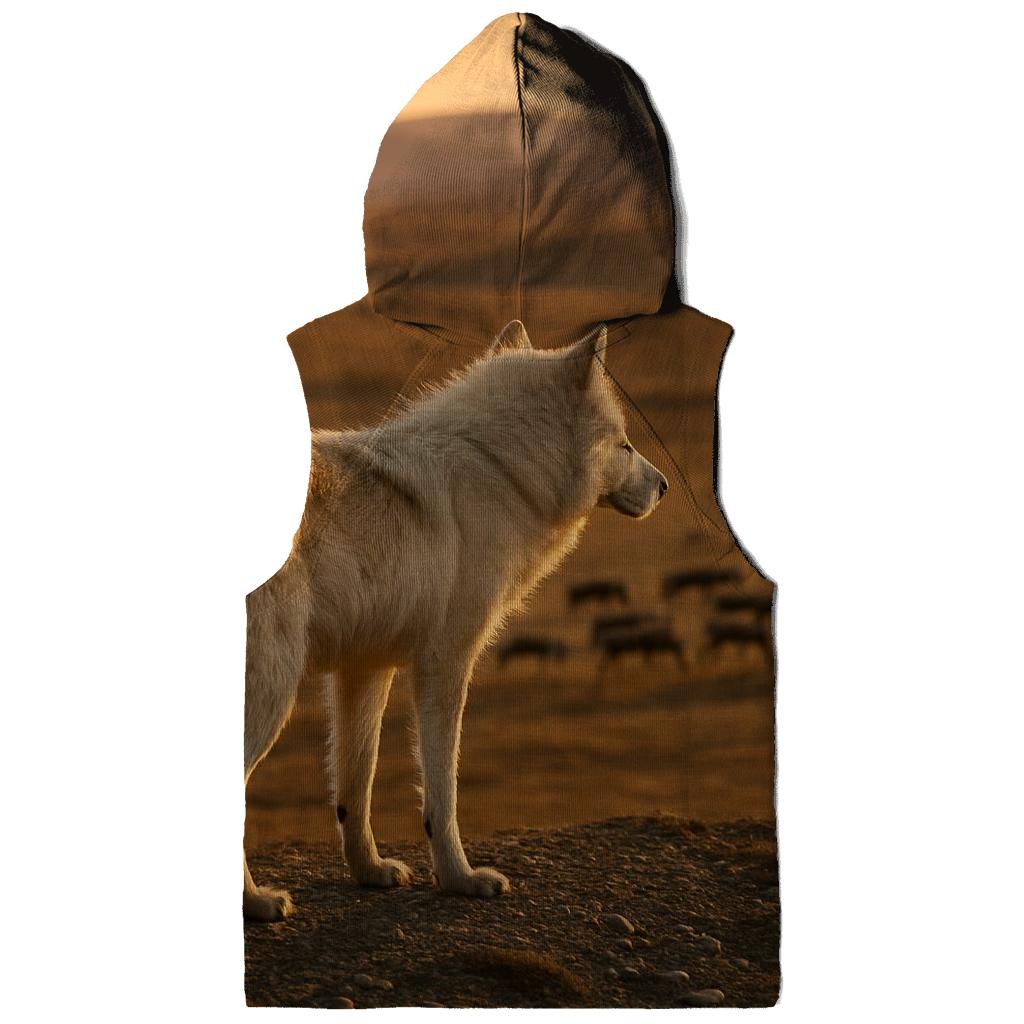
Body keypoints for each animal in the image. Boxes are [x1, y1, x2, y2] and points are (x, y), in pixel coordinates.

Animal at [243, 320, 668, 920]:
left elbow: (356, 785)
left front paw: (370, 871)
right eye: (625, 443)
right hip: (274, 692)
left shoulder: (366, 667)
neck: (502, 469)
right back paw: (258, 903)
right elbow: (443, 791)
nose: (666, 486)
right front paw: (460, 878)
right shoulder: (445, 662)